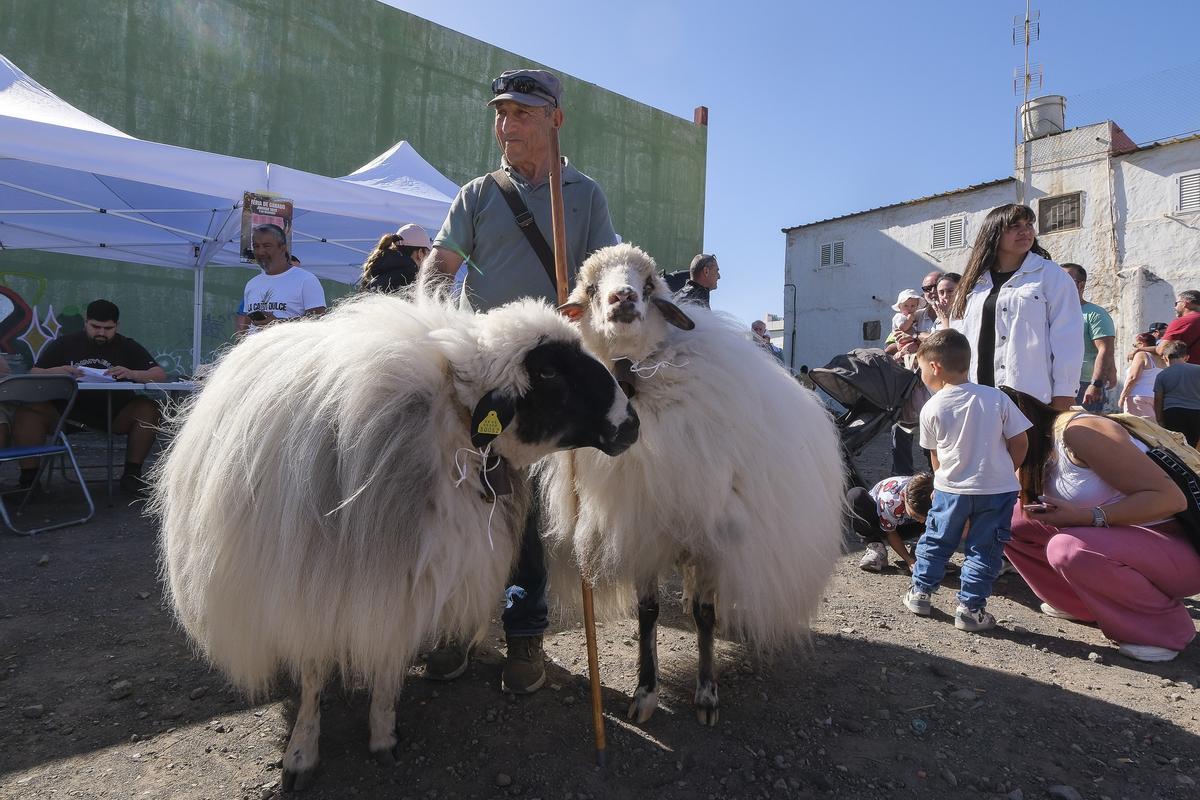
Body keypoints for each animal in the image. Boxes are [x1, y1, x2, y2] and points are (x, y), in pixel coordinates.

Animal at [151, 292, 638, 789]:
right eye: (549, 372)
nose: (630, 424)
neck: (451, 426)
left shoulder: (404, 579)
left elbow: (387, 663)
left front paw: (383, 735)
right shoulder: (310, 587)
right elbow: (312, 675)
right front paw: (302, 752)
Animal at [539, 243, 845, 726]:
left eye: (649, 284)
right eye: (590, 288)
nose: (623, 298)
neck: (636, 381)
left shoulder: (711, 536)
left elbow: (705, 615)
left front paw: (706, 693)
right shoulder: (643, 525)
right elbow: (647, 613)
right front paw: (645, 692)